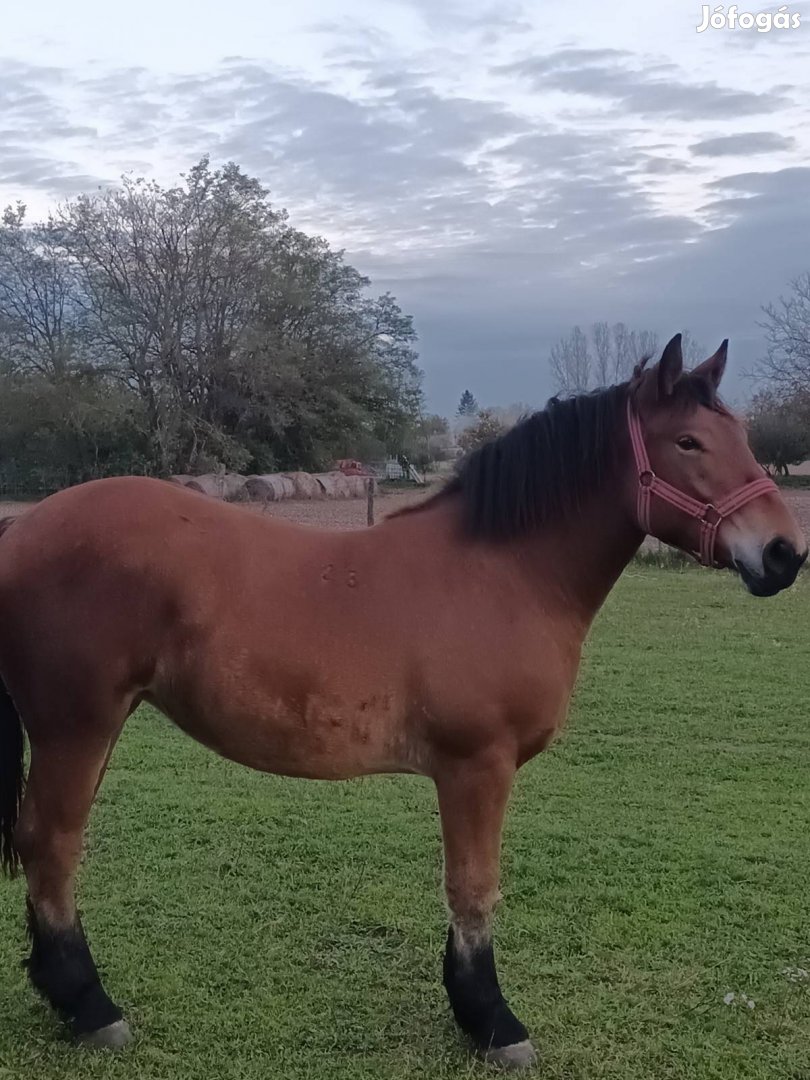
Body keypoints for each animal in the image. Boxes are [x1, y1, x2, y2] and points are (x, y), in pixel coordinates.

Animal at [0, 334, 807, 1062]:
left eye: (738, 436)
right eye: (689, 442)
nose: (783, 553)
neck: (503, 574)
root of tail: (24, 526)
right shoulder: (477, 766)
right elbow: (474, 887)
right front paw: (492, 1020)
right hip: (77, 727)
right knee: (51, 846)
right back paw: (90, 1006)